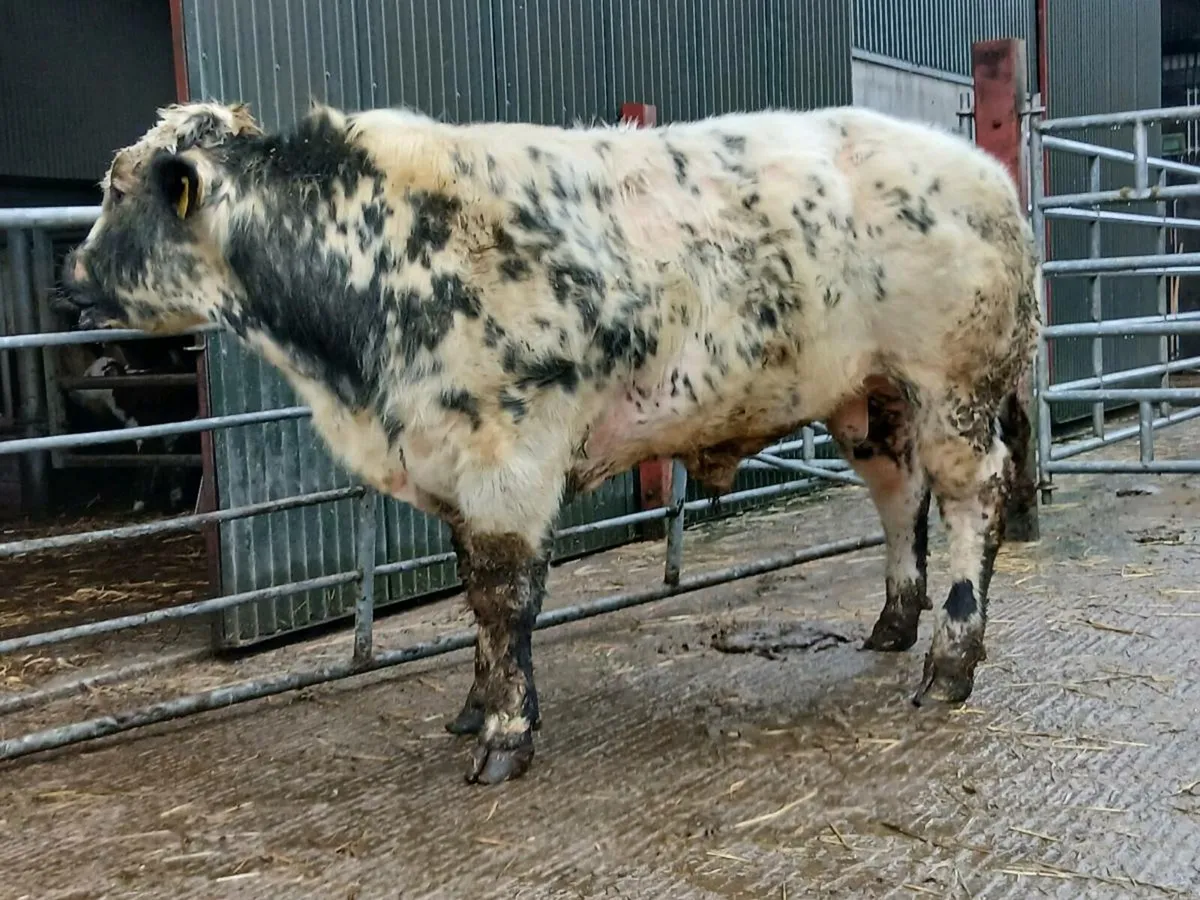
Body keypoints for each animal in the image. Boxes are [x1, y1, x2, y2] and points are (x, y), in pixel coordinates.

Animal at [60, 100, 1040, 785]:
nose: (68, 284)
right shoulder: (451, 462)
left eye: (116, 191)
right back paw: (894, 623)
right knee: (900, 497)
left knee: (973, 499)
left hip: (955, 389)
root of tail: (985, 172)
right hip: (872, 398)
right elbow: (474, 596)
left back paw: (950, 661)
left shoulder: (510, 455)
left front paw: (504, 732)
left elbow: (504, 596)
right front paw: (477, 703)